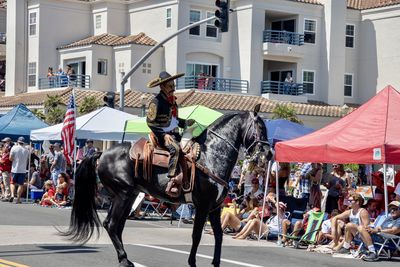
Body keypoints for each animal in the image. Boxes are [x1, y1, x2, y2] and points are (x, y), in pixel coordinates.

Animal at [64, 105, 270, 267]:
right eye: (260, 127)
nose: (267, 153)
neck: (211, 155)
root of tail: (102, 154)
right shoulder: (203, 207)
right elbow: (197, 235)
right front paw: (192, 262)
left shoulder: (215, 208)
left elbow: (218, 235)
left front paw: (216, 262)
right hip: (123, 194)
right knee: (112, 224)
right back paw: (124, 259)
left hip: (128, 196)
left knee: (116, 226)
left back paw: (124, 258)